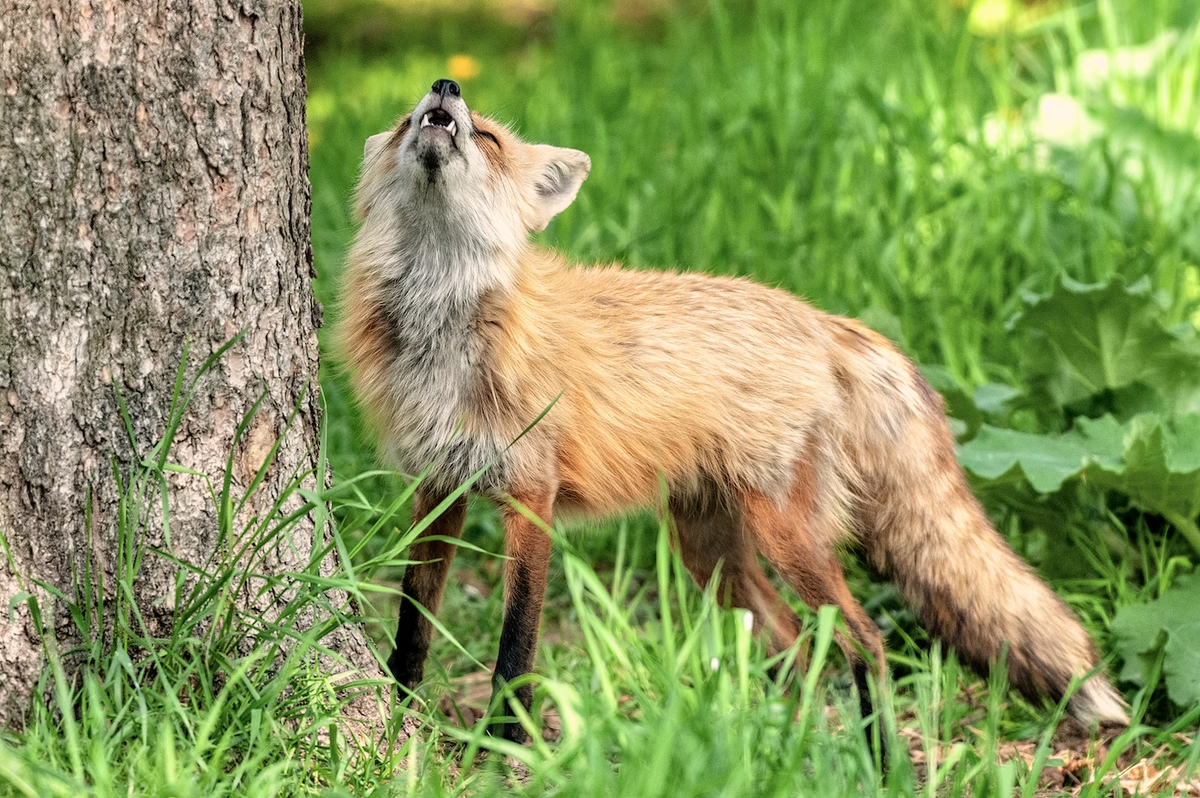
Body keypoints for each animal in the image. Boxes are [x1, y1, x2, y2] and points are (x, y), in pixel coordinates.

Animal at [333, 78, 1128, 744]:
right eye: (405, 121)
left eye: (491, 139)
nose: (444, 86)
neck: (446, 332)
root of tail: (822, 320)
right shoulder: (439, 486)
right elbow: (413, 624)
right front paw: (400, 716)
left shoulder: (532, 494)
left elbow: (514, 649)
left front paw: (507, 747)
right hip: (709, 552)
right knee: (798, 648)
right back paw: (788, 745)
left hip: (784, 535)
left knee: (864, 642)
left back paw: (877, 762)